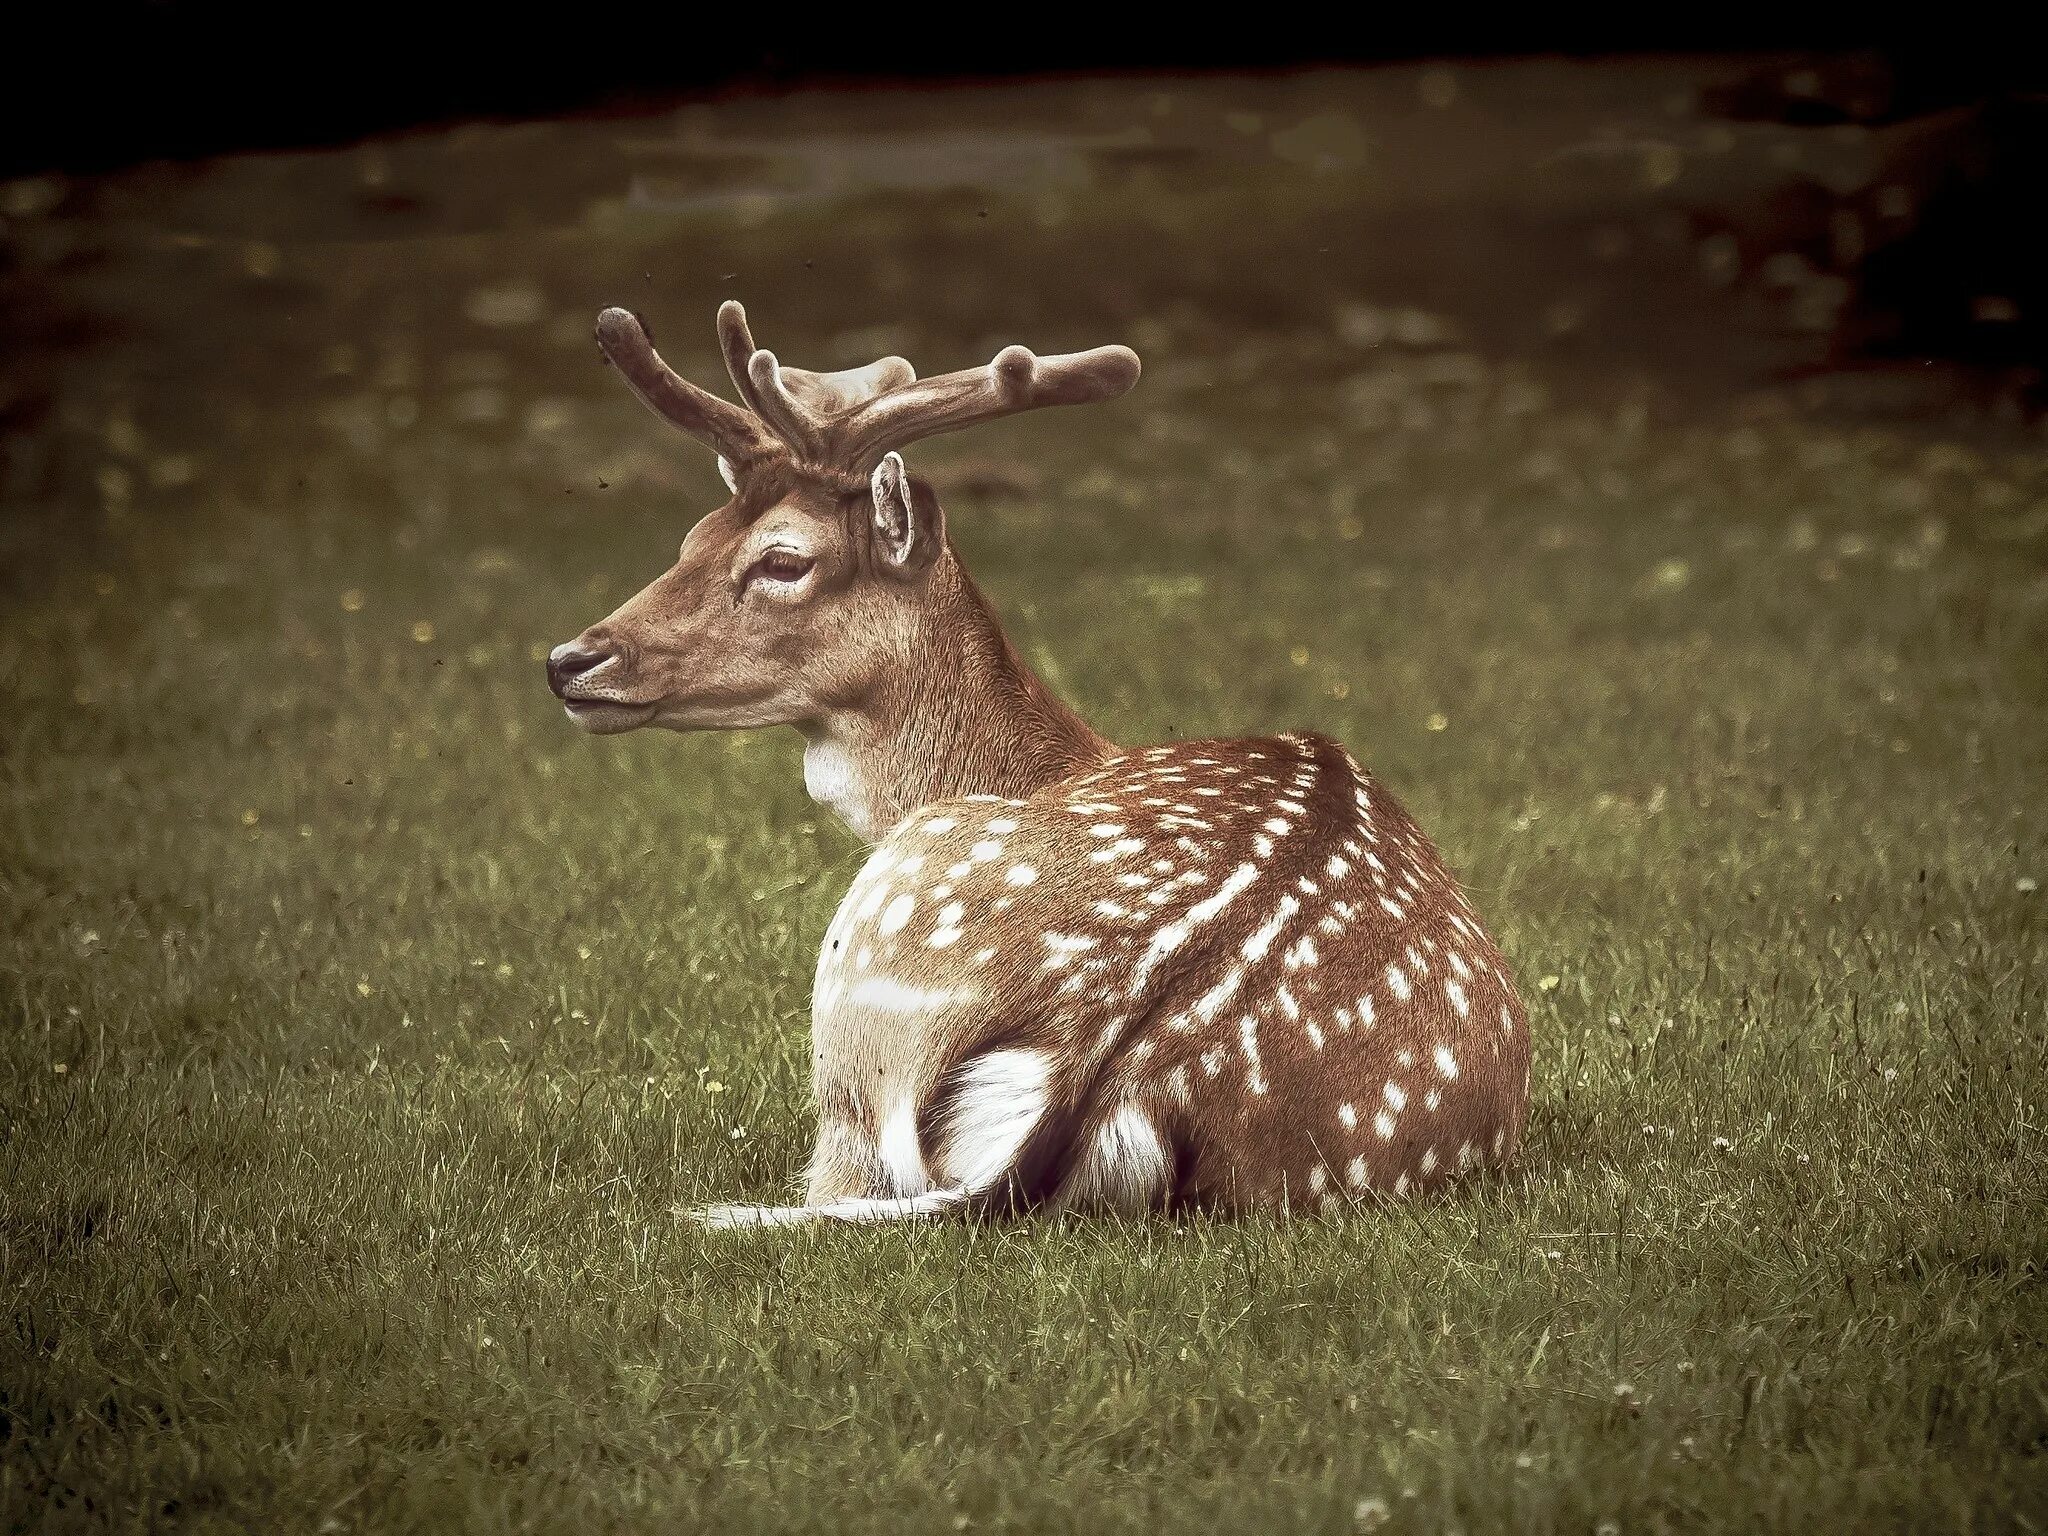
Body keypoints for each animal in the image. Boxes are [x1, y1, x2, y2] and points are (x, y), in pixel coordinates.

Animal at [552, 307, 1531, 1236]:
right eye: (692, 537)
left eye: (784, 559)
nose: (571, 660)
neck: (1050, 759)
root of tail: (1098, 1067)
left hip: (863, 985)